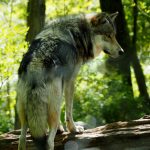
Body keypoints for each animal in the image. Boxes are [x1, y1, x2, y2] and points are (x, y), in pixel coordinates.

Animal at [17, 11, 123, 150]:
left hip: (25, 115)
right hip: (54, 106)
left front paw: (61, 130)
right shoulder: (70, 81)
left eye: (114, 35)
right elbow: (69, 110)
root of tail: (36, 66)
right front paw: (73, 129)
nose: (122, 51)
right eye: (108, 36)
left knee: (21, 139)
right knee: (48, 142)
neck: (79, 34)